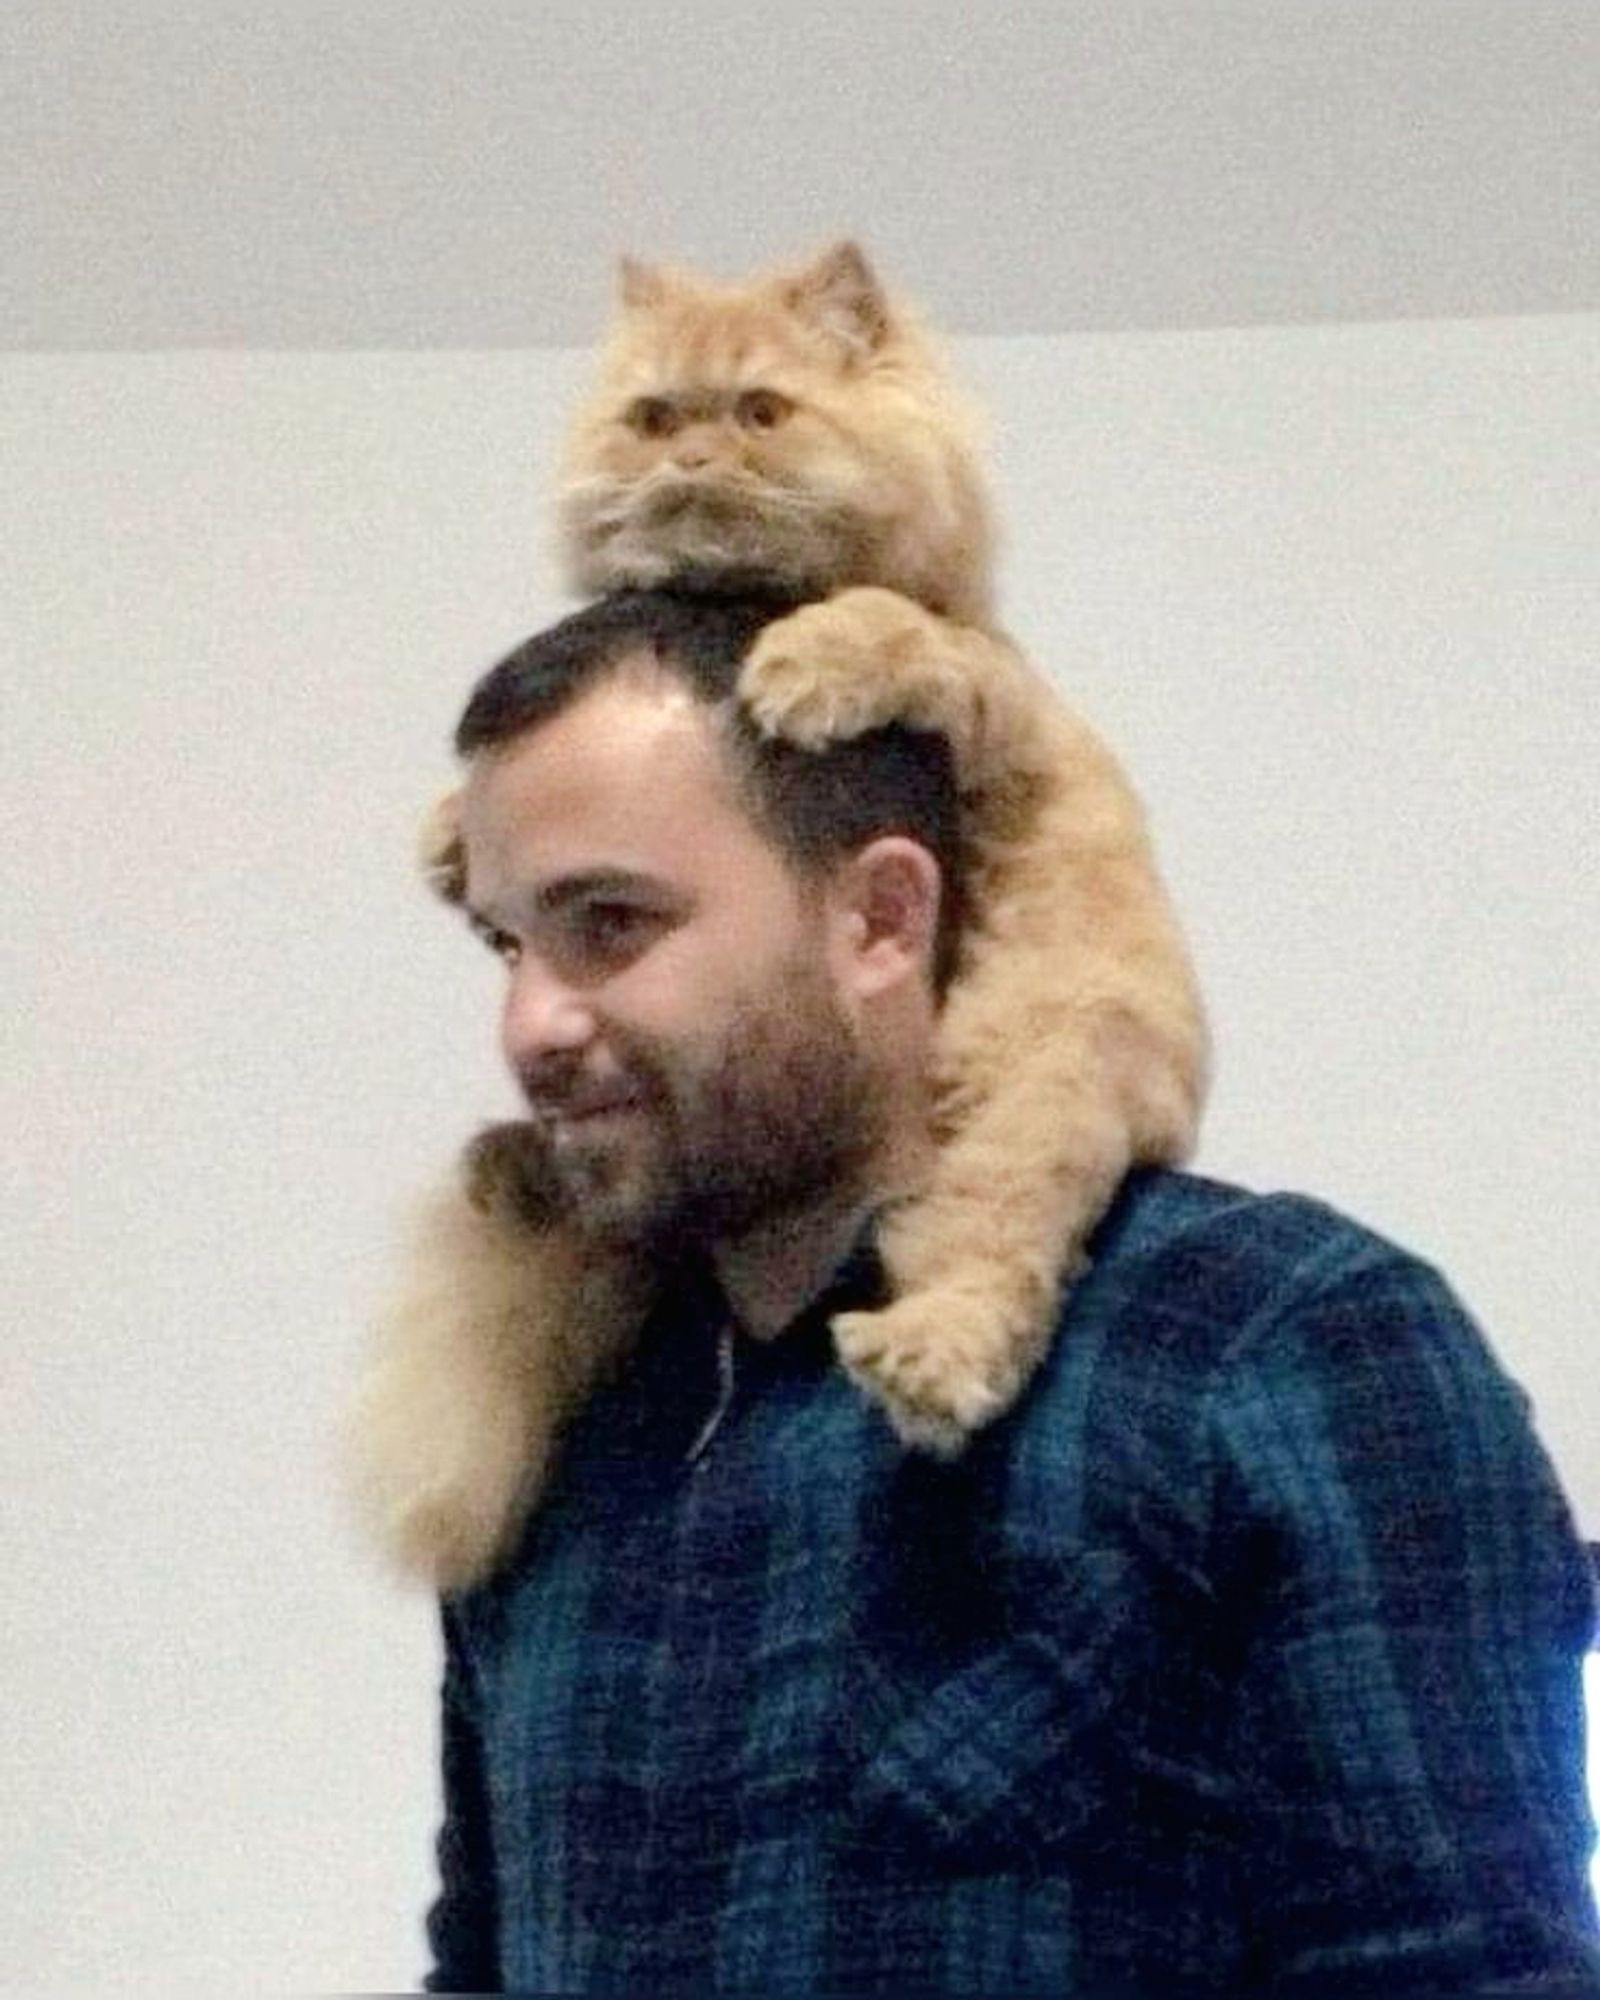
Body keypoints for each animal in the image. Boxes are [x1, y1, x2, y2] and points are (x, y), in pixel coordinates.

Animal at [346, 242, 1200, 1584]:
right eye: (654, 418)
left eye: (759, 412)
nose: (693, 460)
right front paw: (443, 829)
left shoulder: (988, 694)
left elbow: (889, 629)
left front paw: (799, 667)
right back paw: (507, 1165)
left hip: (1039, 1098)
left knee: (990, 1258)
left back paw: (922, 1359)